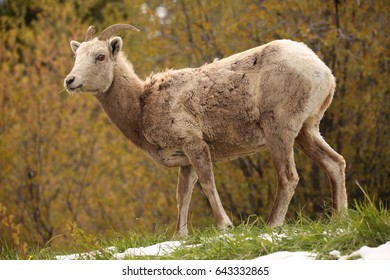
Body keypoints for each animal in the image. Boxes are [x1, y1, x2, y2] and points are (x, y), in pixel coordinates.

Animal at [64, 24, 348, 236]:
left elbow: (208, 183)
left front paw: (225, 226)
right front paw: (179, 236)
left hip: (279, 129)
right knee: (335, 163)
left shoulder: (195, 144)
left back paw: (272, 225)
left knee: (288, 177)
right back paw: (338, 219)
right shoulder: (185, 160)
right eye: (77, 57)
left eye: (100, 56)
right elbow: (182, 196)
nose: (70, 81)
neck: (142, 106)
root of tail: (324, 72)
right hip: (307, 131)